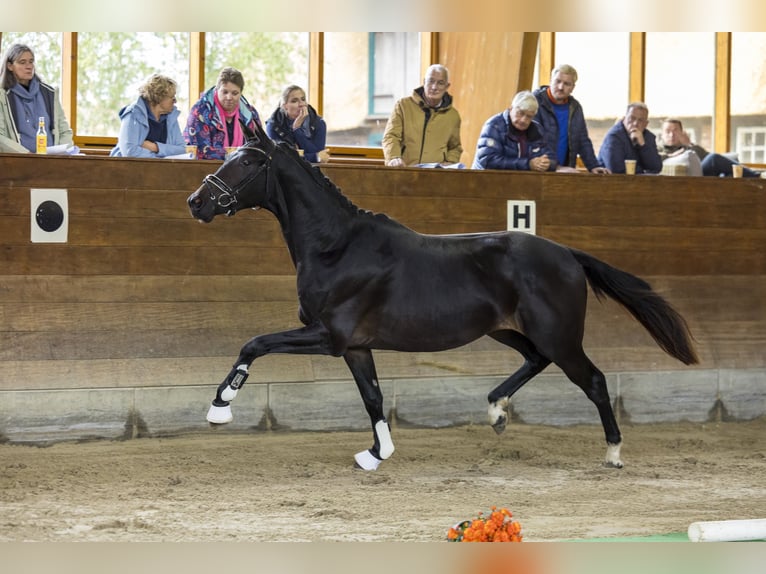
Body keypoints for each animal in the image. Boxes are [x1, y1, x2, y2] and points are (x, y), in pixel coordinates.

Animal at [188, 124, 704, 470]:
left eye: (247, 161)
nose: (197, 202)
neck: (337, 246)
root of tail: (567, 255)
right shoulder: (354, 346)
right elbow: (372, 396)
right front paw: (377, 454)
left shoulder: (328, 335)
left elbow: (254, 343)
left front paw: (220, 408)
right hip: (505, 330)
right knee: (535, 360)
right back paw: (496, 411)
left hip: (559, 336)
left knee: (593, 381)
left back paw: (613, 453)